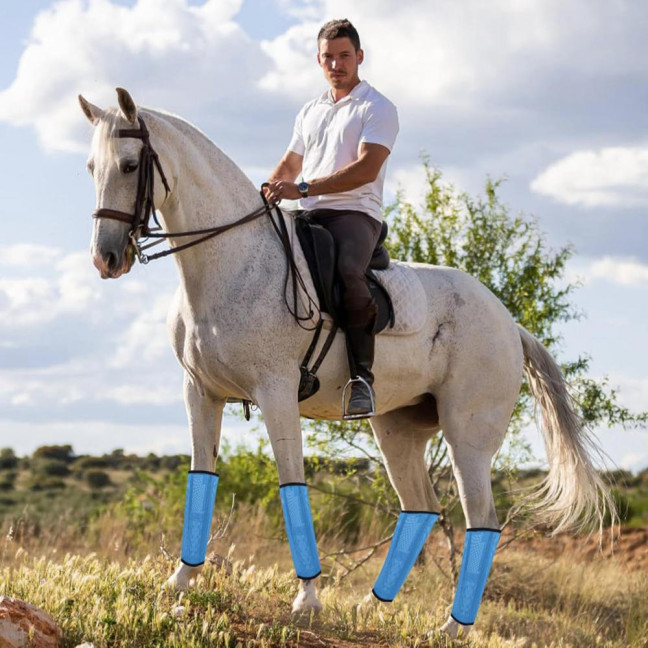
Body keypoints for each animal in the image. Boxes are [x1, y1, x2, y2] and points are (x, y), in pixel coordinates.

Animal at [78, 87, 613, 639]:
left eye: (130, 164)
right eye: (92, 167)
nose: (106, 259)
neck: (230, 263)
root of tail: (510, 325)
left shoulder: (275, 392)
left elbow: (291, 483)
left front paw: (307, 599)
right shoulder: (200, 393)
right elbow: (200, 476)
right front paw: (180, 581)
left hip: (468, 438)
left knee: (482, 520)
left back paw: (451, 628)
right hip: (397, 429)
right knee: (421, 507)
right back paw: (372, 606)